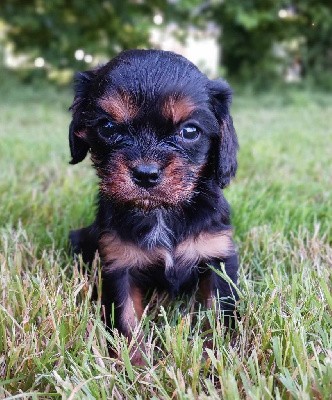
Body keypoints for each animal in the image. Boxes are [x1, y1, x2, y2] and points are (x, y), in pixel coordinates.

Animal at [68, 48, 239, 360]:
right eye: (107, 127)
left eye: (190, 131)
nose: (146, 173)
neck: (160, 212)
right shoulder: (118, 263)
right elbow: (126, 319)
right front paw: (133, 365)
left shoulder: (218, 256)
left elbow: (218, 314)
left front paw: (214, 357)